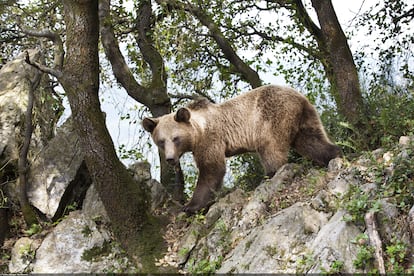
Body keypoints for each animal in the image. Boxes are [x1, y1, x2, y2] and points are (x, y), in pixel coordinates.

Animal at [142, 84, 340, 213]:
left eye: (175, 138)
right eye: (161, 141)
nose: (170, 159)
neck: (198, 131)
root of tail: (299, 97)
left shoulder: (210, 139)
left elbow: (211, 169)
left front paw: (190, 205)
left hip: (272, 116)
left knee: (270, 147)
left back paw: (270, 174)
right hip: (305, 118)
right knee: (312, 141)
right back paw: (334, 154)